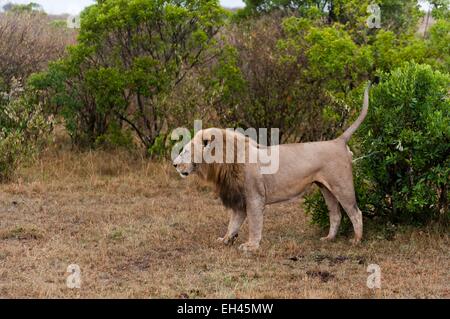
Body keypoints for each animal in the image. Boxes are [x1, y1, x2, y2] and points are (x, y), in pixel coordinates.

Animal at [172, 84, 370, 252]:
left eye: (186, 150)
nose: (174, 164)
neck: (224, 163)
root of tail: (338, 140)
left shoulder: (254, 197)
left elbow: (254, 223)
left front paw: (251, 246)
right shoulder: (239, 200)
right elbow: (233, 223)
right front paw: (226, 239)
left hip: (341, 186)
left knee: (355, 212)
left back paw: (357, 240)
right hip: (325, 188)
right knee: (335, 214)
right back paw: (329, 238)